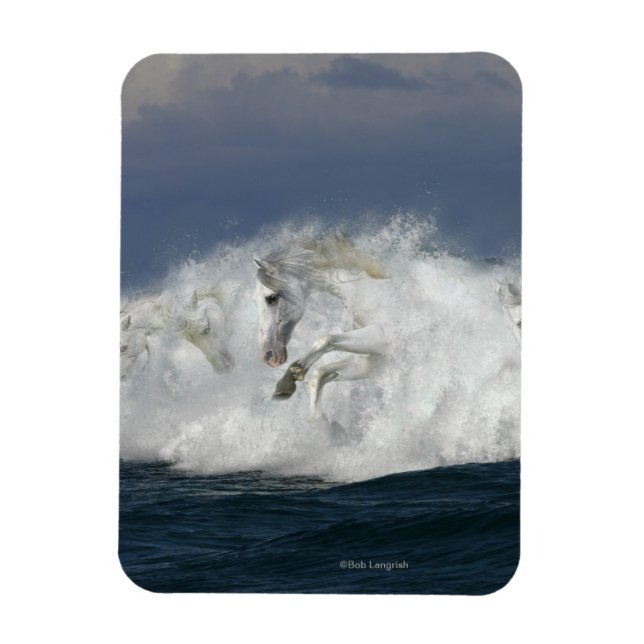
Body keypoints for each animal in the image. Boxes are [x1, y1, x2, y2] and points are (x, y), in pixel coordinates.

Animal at [253, 235, 395, 420]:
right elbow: (319, 375)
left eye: (272, 298)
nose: (267, 355)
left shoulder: (385, 337)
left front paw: (290, 377)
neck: (367, 291)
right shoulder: (374, 359)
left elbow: (325, 340)